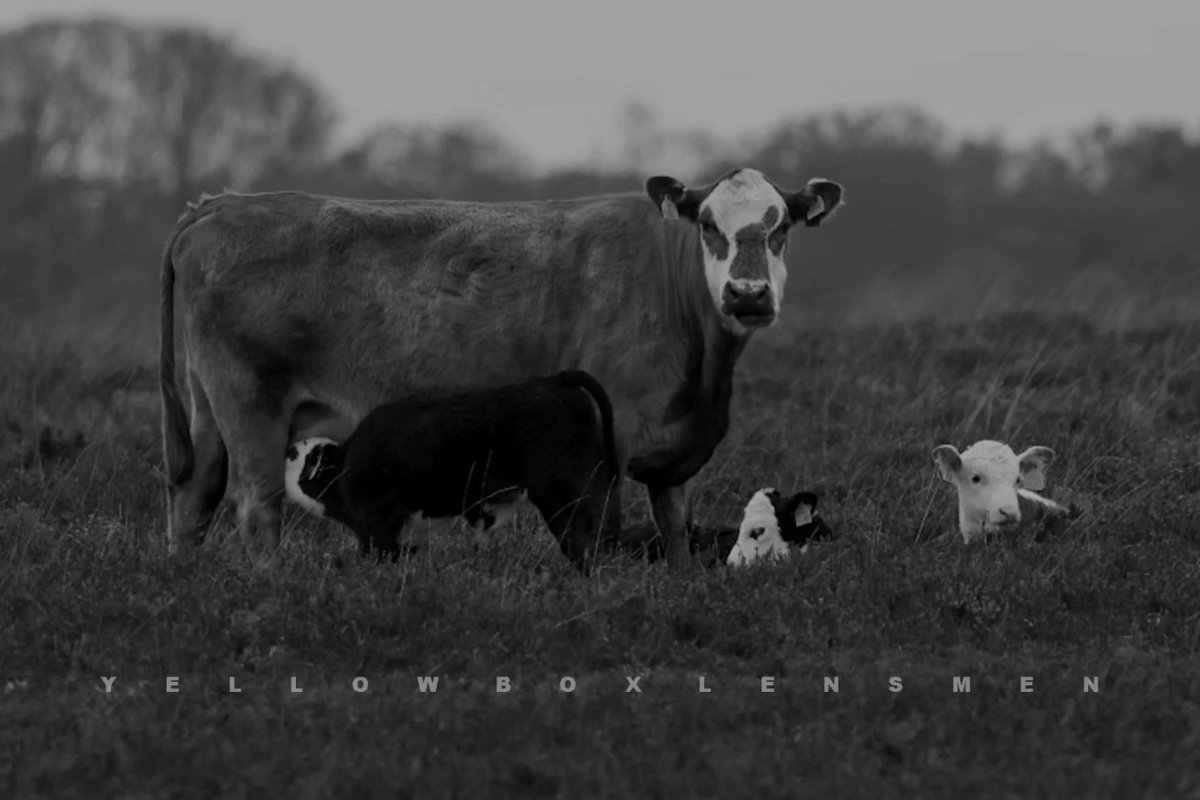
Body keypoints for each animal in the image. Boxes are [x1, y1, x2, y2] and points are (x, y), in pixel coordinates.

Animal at [280, 371, 619, 573]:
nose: (287, 449)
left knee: (581, 540)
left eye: (297, 455)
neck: (345, 465)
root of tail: (550, 382)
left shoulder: (378, 526)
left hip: (562, 496)